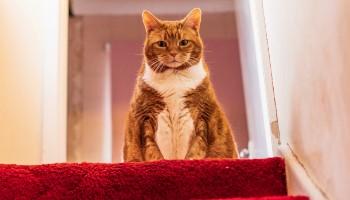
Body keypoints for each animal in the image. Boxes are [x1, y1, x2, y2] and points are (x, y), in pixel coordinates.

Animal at [122, 8, 238, 162]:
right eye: (161, 44)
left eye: (183, 42)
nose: (173, 53)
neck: (174, 77)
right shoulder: (144, 115)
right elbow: (151, 150)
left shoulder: (203, 114)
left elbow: (197, 148)